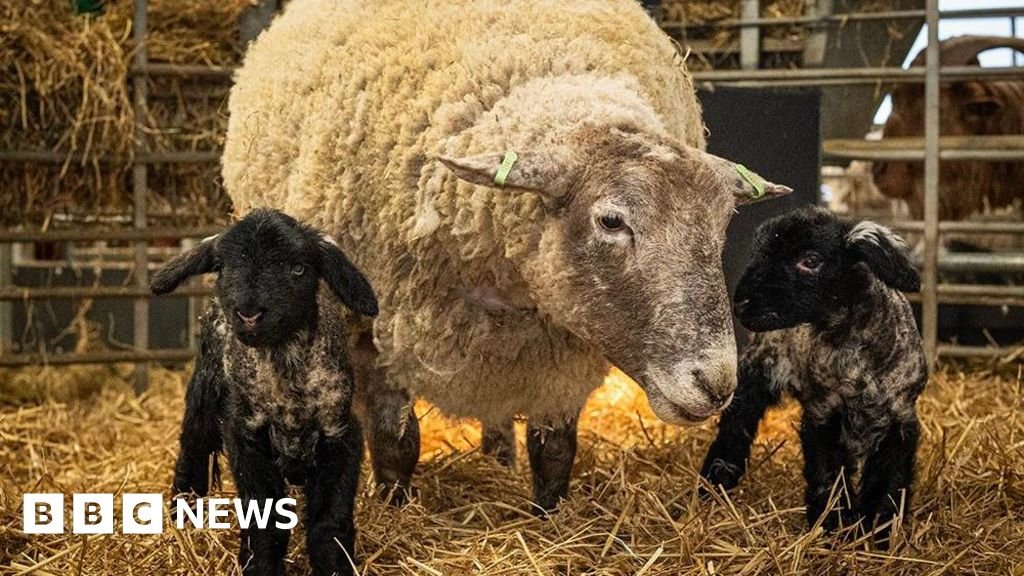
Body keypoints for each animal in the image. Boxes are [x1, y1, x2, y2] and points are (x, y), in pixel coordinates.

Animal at [151, 209, 379, 576]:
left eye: (298, 268)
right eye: (224, 266)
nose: (249, 313)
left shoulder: (341, 437)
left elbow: (328, 524)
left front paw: (335, 566)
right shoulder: (246, 438)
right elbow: (265, 523)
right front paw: (259, 565)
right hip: (205, 386)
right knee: (193, 445)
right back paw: (182, 517)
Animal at [223, 0, 790, 512]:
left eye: (722, 224)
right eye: (611, 221)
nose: (717, 384)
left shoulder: (561, 354)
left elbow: (555, 450)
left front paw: (549, 517)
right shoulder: (372, 331)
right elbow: (395, 444)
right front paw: (395, 509)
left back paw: (498, 458)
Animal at [699, 207, 927, 548]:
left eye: (810, 260)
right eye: (758, 253)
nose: (741, 303)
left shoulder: (899, 419)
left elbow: (888, 482)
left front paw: (877, 535)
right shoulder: (822, 413)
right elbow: (827, 475)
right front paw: (834, 528)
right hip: (758, 366)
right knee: (737, 422)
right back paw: (716, 478)